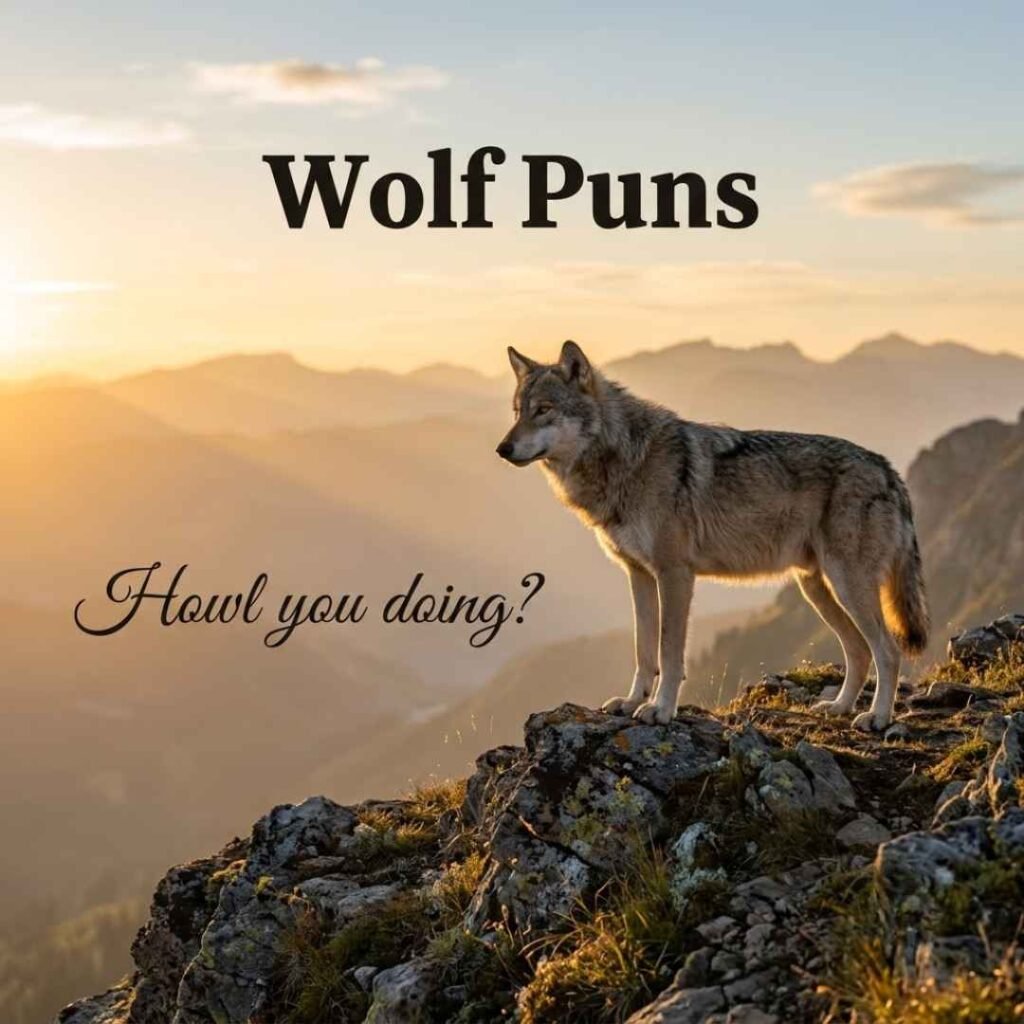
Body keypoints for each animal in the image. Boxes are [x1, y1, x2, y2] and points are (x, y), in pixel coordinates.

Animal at [496, 341, 929, 731]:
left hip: (847, 585)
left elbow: (668, 653)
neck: (625, 459)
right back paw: (839, 707)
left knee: (887, 651)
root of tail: (889, 470)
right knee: (858, 650)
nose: (502, 448)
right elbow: (643, 650)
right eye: (517, 412)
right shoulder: (639, 575)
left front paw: (660, 710)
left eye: (544, 410)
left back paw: (877, 718)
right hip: (817, 588)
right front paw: (632, 702)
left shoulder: (674, 574)